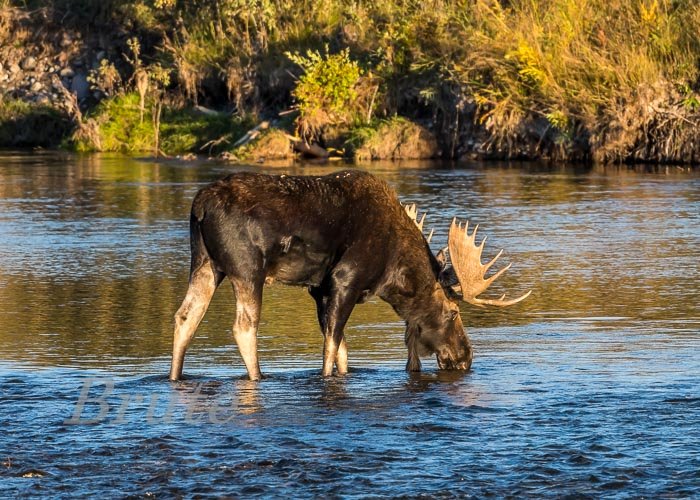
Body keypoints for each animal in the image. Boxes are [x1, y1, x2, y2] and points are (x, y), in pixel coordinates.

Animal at [171, 170, 532, 380]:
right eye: (454, 312)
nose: (466, 357)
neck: (393, 272)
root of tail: (199, 206)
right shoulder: (345, 279)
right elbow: (332, 346)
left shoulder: (318, 289)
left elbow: (342, 349)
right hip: (247, 269)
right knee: (243, 327)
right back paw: (258, 376)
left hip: (204, 262)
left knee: (185, 316)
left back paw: (175, 377)